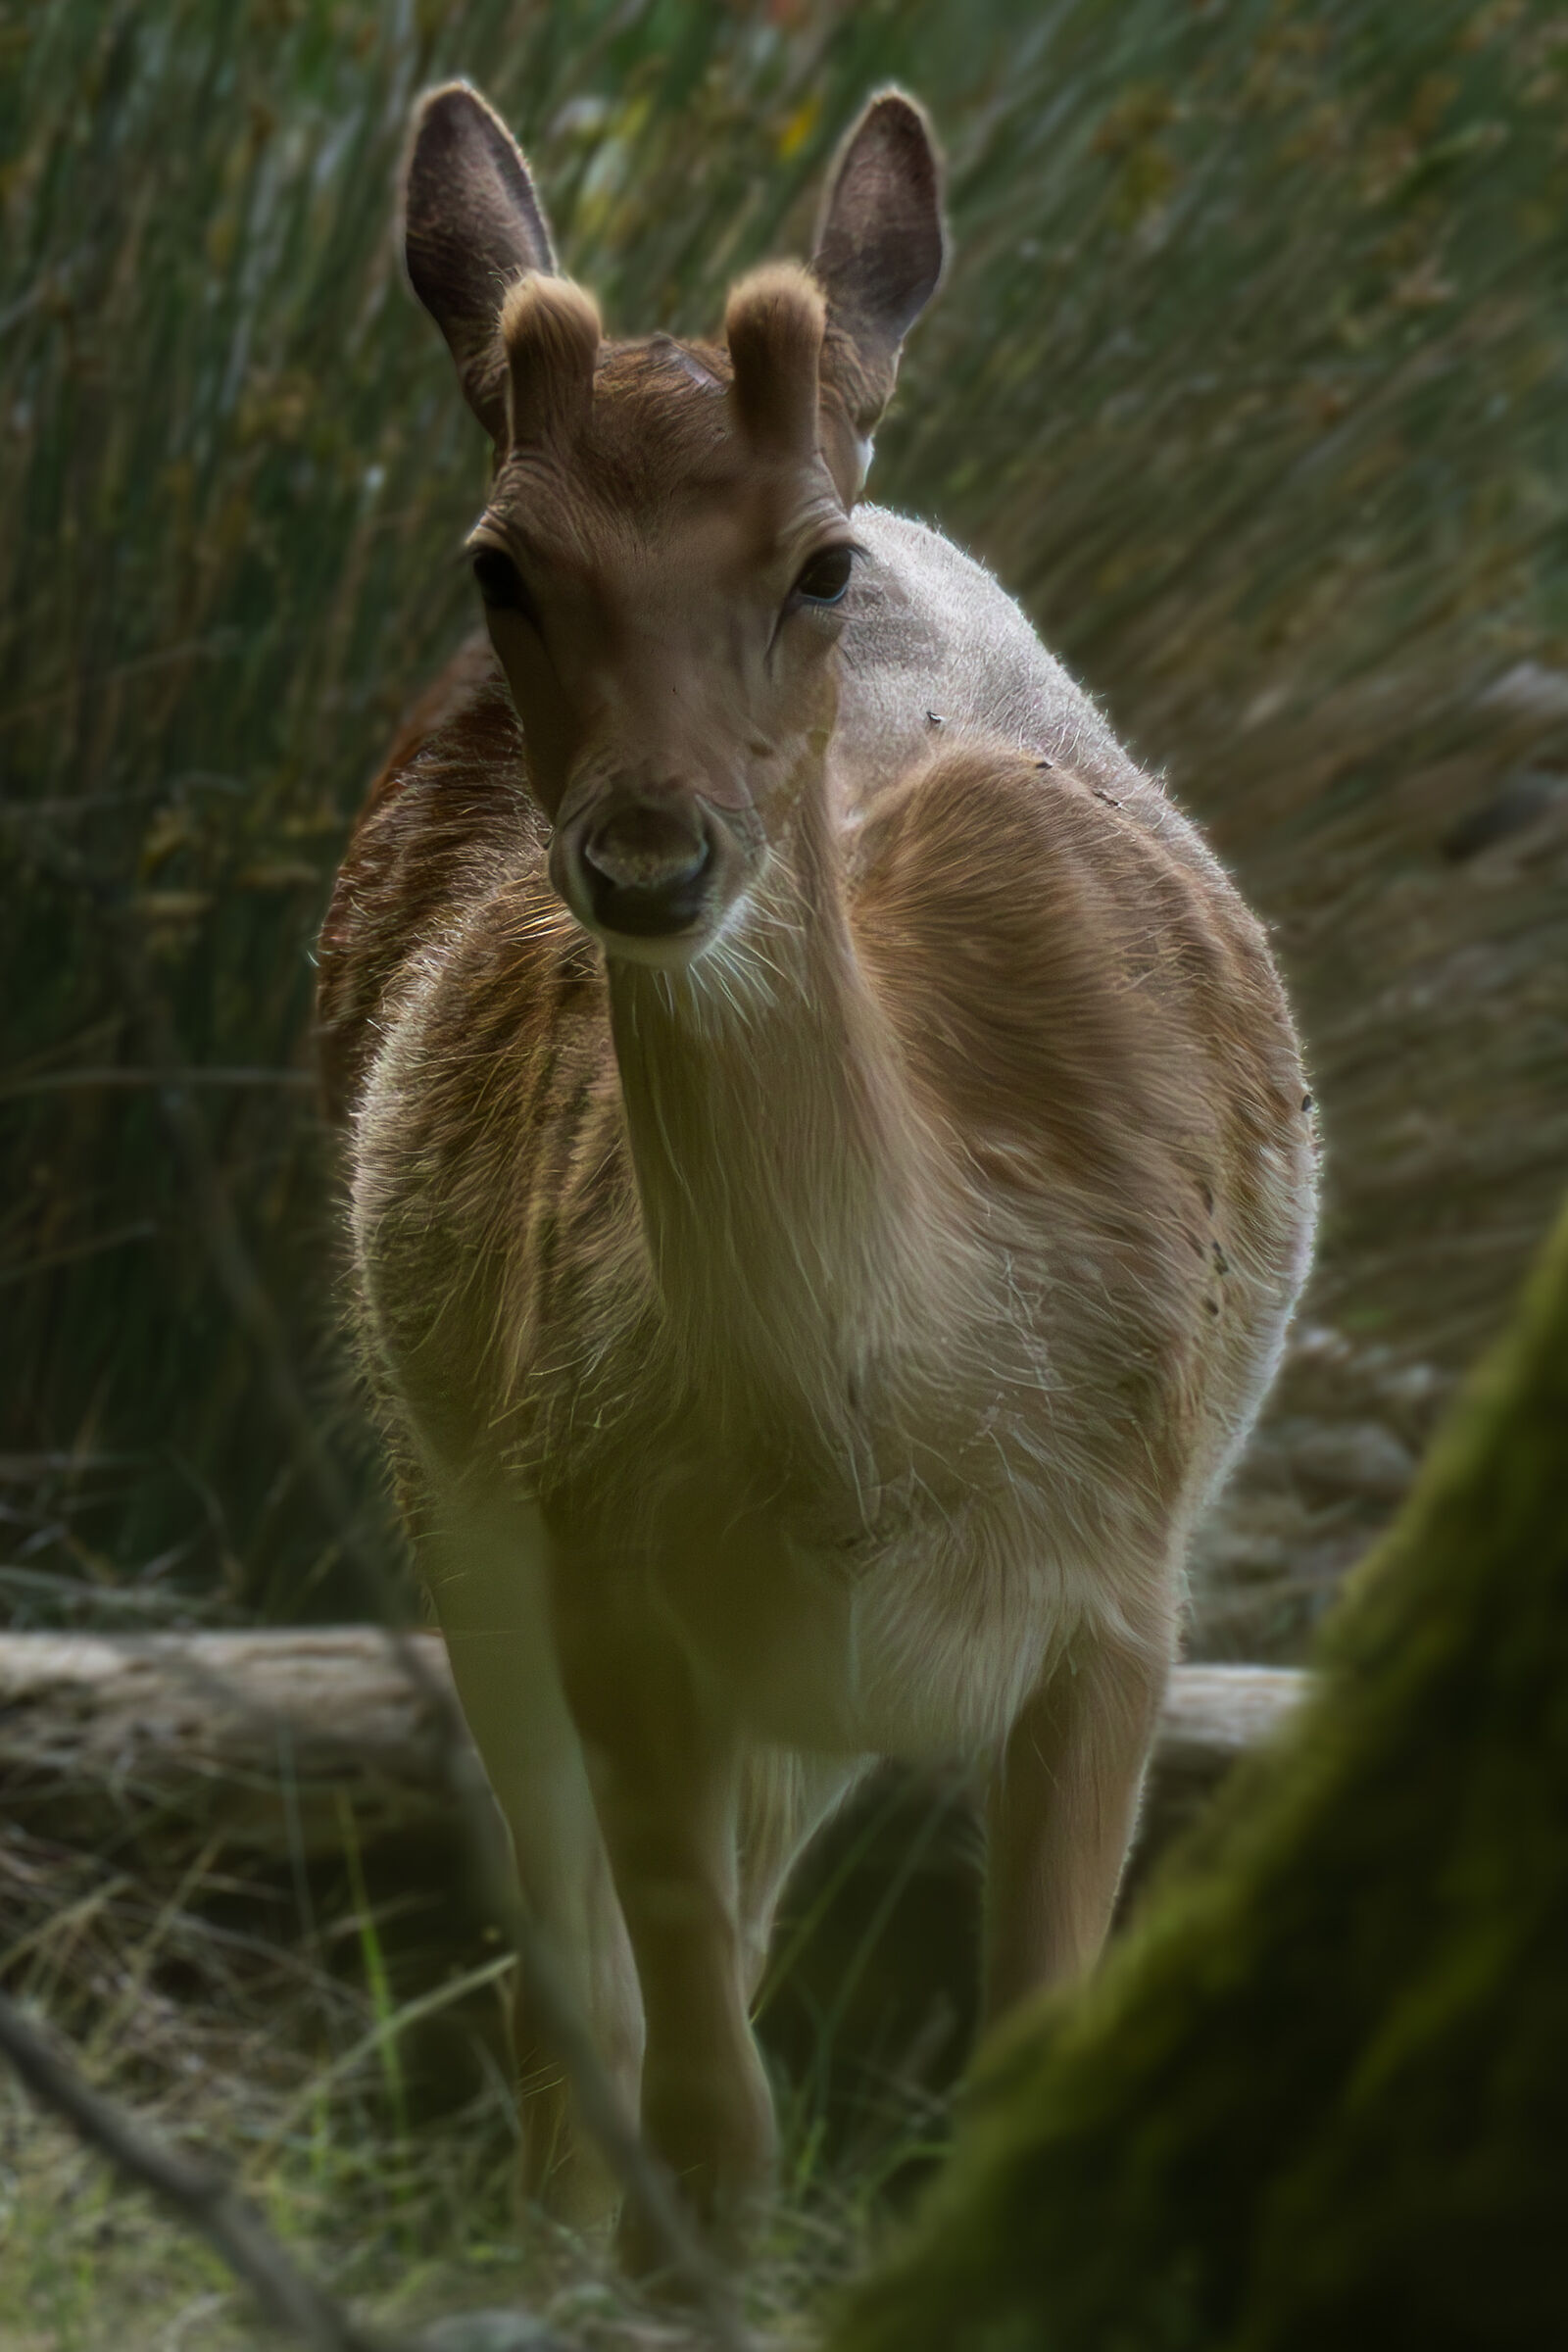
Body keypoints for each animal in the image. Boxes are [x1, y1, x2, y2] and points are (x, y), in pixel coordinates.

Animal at [316, 80, 1317, 2265]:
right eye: (500, 562)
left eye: (816, 561)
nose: (645, 853)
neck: (875, 1433)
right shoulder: (601, 1558)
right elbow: (703, 2110)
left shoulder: (1125, 1589)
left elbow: (1022, 2058)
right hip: (446, 1492)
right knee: (575, 1985)